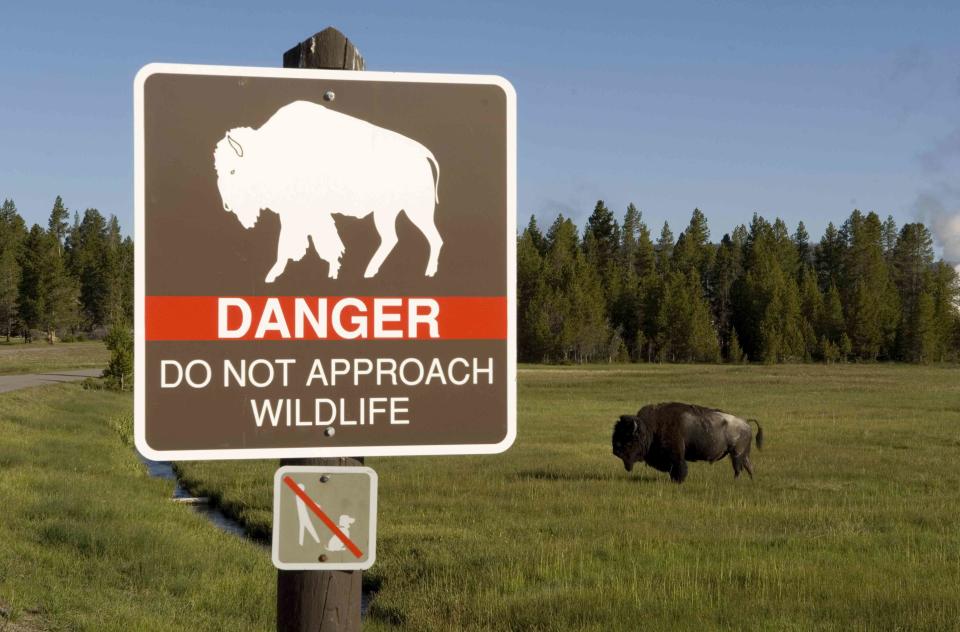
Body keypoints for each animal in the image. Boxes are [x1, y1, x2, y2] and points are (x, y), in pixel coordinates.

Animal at [214, 100, 442, 282]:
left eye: (233, 170)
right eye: (218, 170)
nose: (226, 205)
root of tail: (422, 153)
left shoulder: (303, 212)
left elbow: (298, 243)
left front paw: (274, 274)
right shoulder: (299, 213)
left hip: (415, 210)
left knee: (433, 238)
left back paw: (427, 272)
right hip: (386, 212)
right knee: (392, 238)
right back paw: (369, 272)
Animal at [612, 402, 760, 486]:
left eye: (629, 439)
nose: (616, 451)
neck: (651, 428)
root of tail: (746, 423)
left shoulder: (676, 456)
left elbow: (679, 468)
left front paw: (678, 481)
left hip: (736, 454)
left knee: (738, 469)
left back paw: (736, 482)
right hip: (742, 455)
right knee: (748, 467)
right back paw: (751, 481)